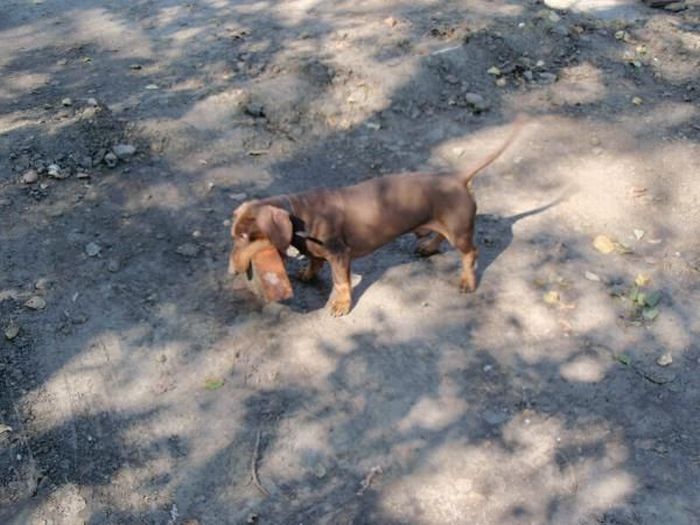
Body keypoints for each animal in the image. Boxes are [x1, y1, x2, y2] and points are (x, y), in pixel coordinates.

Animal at [230, 117, 524, 316]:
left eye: (246, 236)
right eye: (234, 235)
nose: (232, 272)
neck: (300, 213)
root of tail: (457, 178)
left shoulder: (340, 254)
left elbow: (341, 282)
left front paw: (340, 304)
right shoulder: (317, 251)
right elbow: (314, 262)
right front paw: (307, 273)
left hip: (460, 230)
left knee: (470, 253)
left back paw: (467, 281)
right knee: (440, 237)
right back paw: (428, 247)